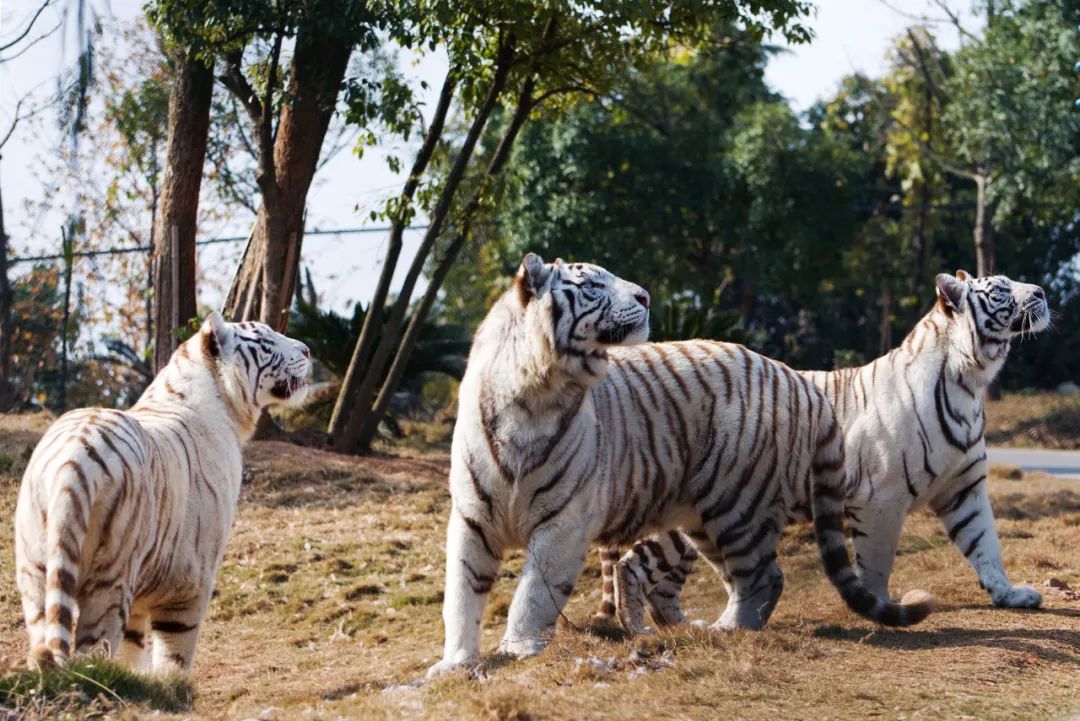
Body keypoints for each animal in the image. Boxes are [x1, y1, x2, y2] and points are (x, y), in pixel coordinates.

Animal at [14, 313, 311, 673]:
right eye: (266, 341)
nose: (308, 350)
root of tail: (75, 456)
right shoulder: (192, 582)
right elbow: (175, 656)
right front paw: (172, 684)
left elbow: (132, 649)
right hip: (110, 577)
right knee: (92, 648)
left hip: (35, 570)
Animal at [425, 253, 933, 677]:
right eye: (592, 284)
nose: (646, 297)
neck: (534, 393)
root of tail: (796, 377)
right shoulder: (472, 519)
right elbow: (461, 595)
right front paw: (454, 663)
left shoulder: (562, 522)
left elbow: (532, 593)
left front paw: (519, 650)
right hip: (706, 518)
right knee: (745, 577)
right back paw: (707, 627)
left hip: (737, 503)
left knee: (762, 575)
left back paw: (729, 630)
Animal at [596, 269, 1049, 630]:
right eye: (1001, 289)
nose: (1043, 291)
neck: (969, 381)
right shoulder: (881, 499)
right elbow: (877, 561)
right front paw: (878, 605)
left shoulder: (964, 489)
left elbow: (986, 545)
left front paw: (1010, 595)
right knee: (636, 566)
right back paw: (648, 627)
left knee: (652, 576)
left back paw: (680, 626)